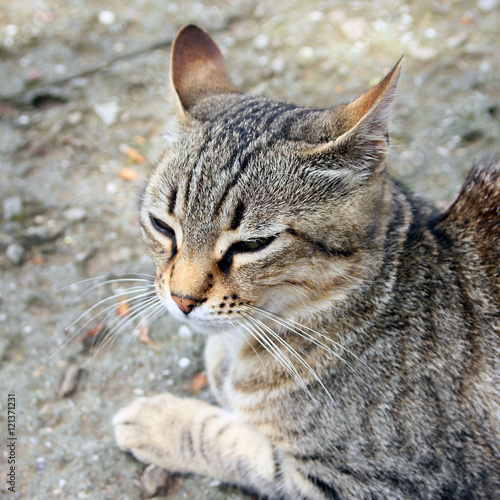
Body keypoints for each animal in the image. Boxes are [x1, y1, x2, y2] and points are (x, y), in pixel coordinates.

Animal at [113, 25, 500, 498]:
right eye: (162, 226)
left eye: (254, 244)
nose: (182, 299)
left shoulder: (370, 483)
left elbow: (240, 443)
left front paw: (162, 421)